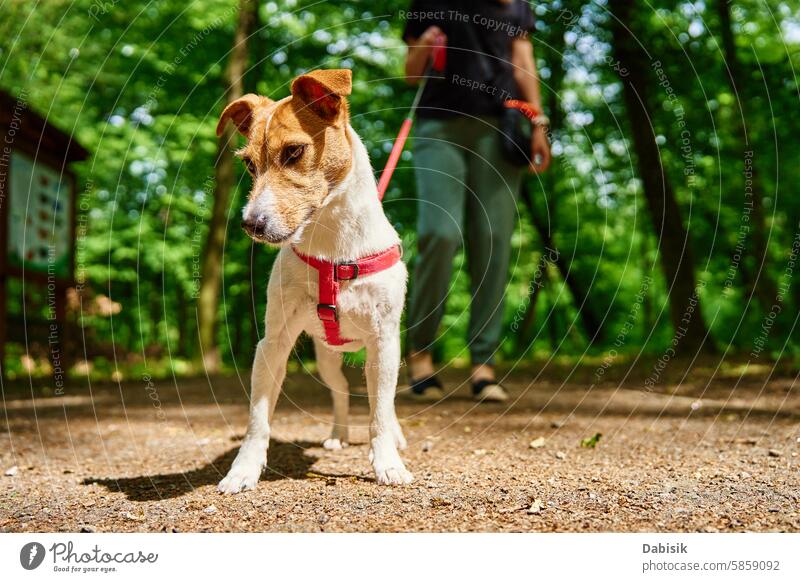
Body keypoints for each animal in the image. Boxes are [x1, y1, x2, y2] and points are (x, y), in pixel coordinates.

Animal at [216, 69, 412, 498]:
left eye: (293, 151)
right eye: (249, 165)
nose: (251, 224)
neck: (332, 245)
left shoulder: (385, 342)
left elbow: (379, 413)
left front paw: (388, 463)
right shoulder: (272, 345)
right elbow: (258, 419)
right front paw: (243, 471)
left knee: (385, 404)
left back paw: (396, 436)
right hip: (326, 358)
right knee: (341, 392)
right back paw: (338, 434)